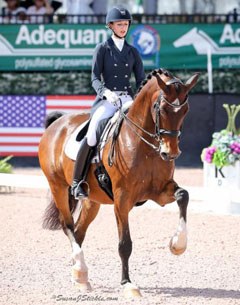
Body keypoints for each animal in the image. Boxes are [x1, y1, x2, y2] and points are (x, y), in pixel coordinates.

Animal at [39, 67, 199, 296]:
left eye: (185, 110)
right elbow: (125, 244)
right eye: (161, 109)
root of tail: (57, 123)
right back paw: (80, 269)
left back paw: (80, 276)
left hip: (91, 201)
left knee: (78, 231)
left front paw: (178, 244)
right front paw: (127, 284)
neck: (144, 145)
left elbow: (183, 195)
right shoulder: (122, 200)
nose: (170, 153)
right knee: (67, 225)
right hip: (58, 187)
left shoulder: (160, 191)